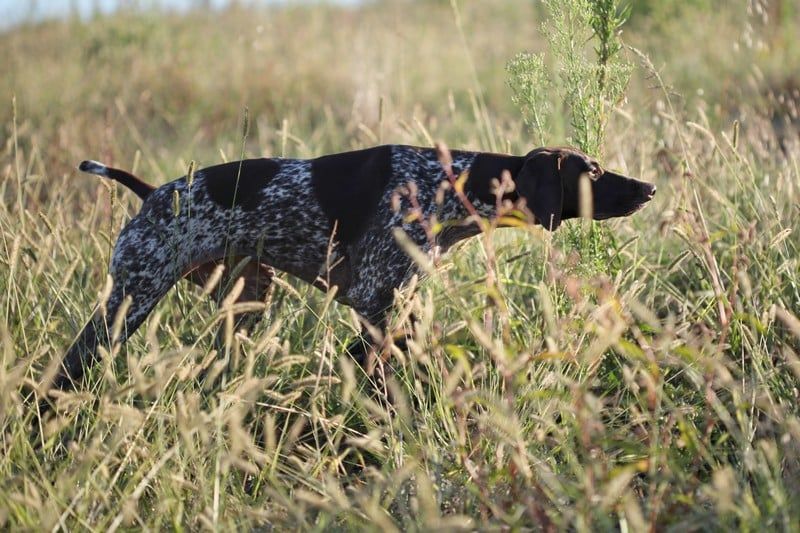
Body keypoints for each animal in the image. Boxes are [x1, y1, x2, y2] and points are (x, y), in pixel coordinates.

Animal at [51, 145, 656, 394]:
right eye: (592, 171)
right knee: (67, 370)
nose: (649, 188)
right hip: (127, 304)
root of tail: (154, 193)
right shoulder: (374, 304)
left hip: (246, 299)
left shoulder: (399, 306)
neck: (448, 185)